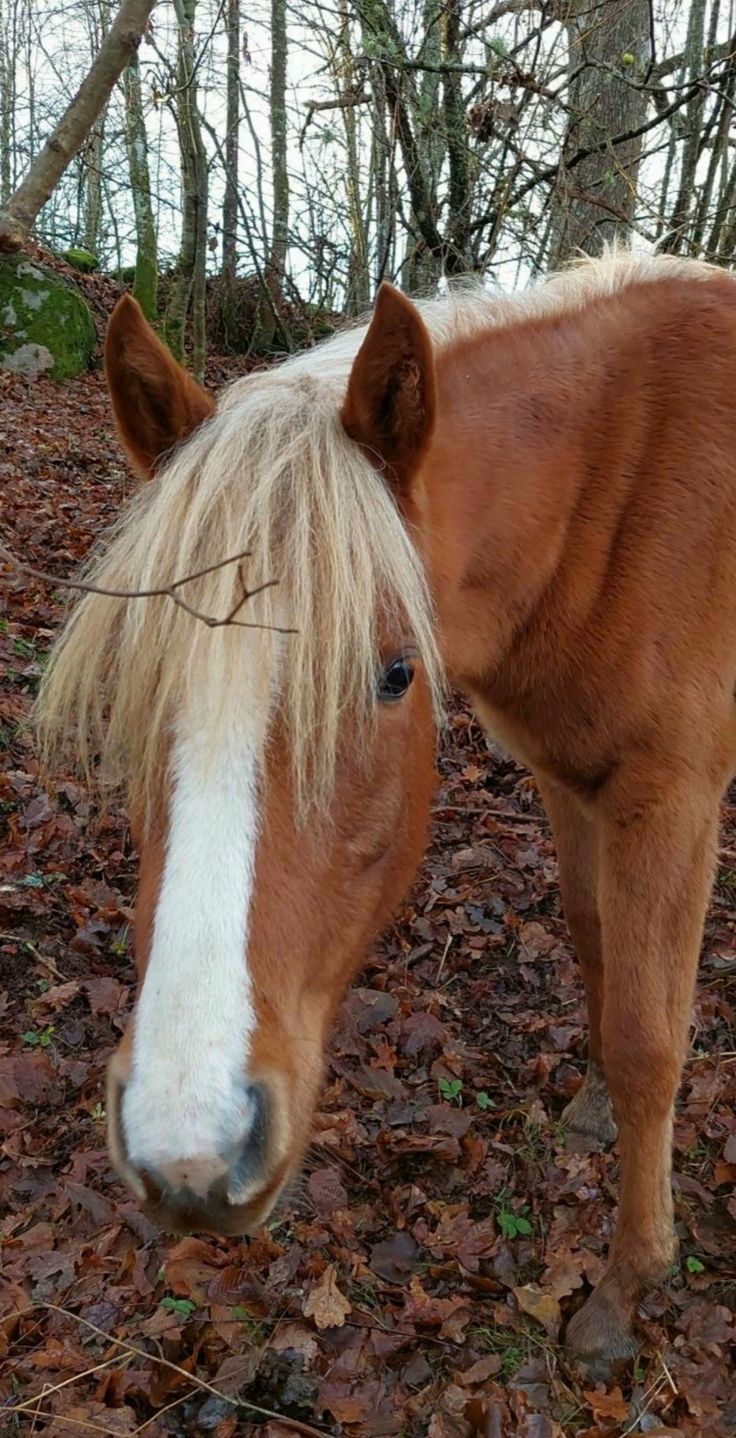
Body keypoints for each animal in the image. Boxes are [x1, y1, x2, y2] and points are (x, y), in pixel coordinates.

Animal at [37, 250, 736, 1368]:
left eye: (395, 674)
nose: (188, 1145)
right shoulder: (568, 778)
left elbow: (649, 1040)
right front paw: (588, 1109)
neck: (624, 478)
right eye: (139, 681)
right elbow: (593, 942)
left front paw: (627, 1287)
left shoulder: (670, 802)